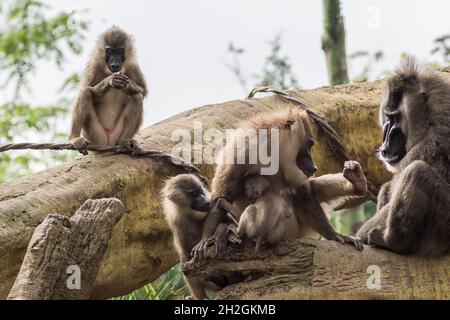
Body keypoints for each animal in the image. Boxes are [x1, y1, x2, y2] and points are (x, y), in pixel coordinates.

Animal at [69, 26, 148, 154]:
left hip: (116, 136)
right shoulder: (95, 66)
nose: (115, 63)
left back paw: (125, 142)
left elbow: (143, 91)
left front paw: (129, 85)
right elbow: (87, 89)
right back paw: (74, 138)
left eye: (120, 51)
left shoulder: (132, 66)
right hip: (95, 137)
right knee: (85, 93)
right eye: (110, 52)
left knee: (137, 97)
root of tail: (109, 143)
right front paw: (109, 81)